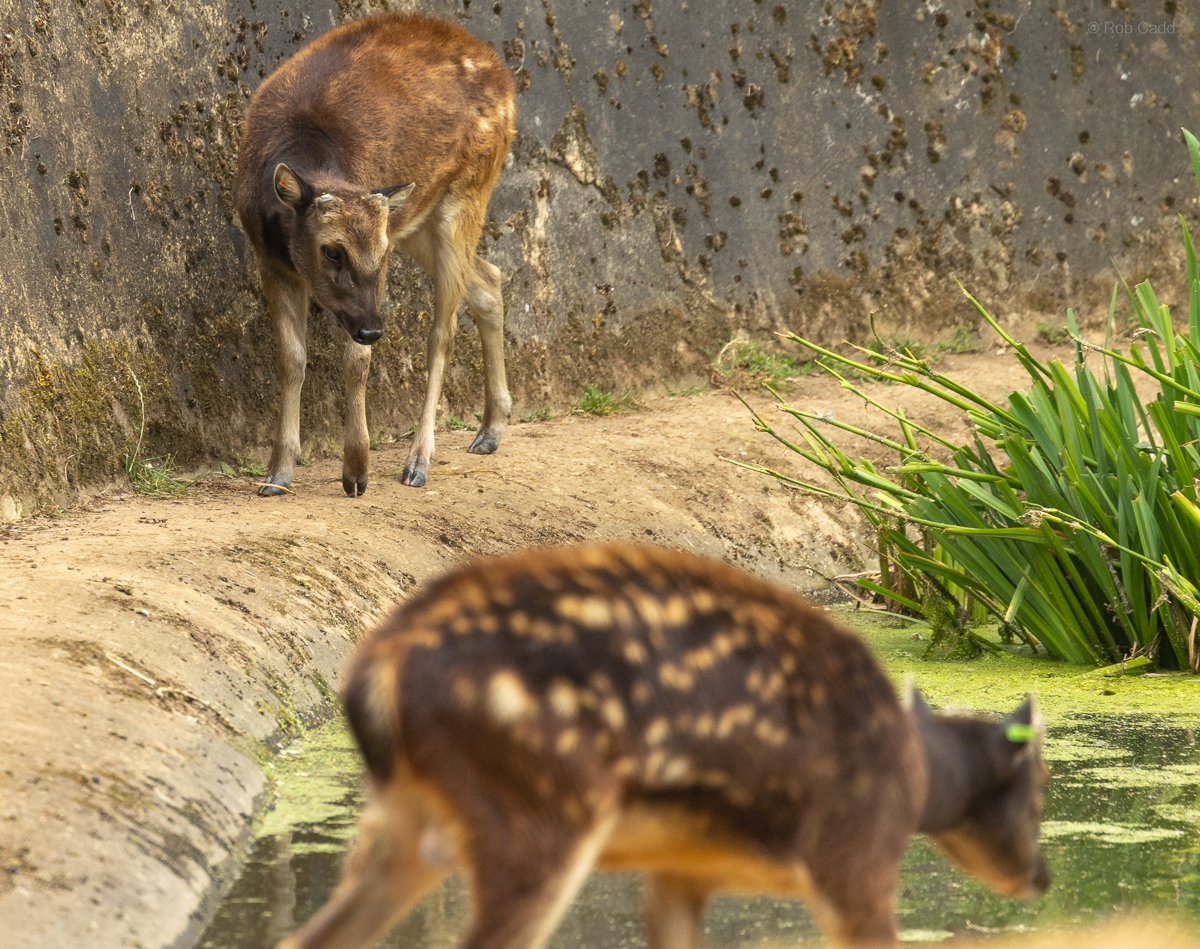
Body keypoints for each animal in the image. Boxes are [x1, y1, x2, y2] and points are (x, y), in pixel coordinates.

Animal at [235, 13, 516, 497]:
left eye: (380, 255)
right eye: (331, 250)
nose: (371, 329)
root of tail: (507, 81)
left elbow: (356, 362)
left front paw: (356, 472)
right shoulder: (269, 258)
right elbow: (291, 359)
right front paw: (276, 475)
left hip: (468, 190)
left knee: (442, 332)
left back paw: (418, 462)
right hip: (419, 219)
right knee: (488, 278)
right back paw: (490, 430)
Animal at [277, 543, 1050, 949]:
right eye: (1040, 789)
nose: (1041, 879)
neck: (919, 776)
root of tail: (376, 670)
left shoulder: (681, 868)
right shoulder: (854, 854)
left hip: (403, 822)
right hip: (538, 813)